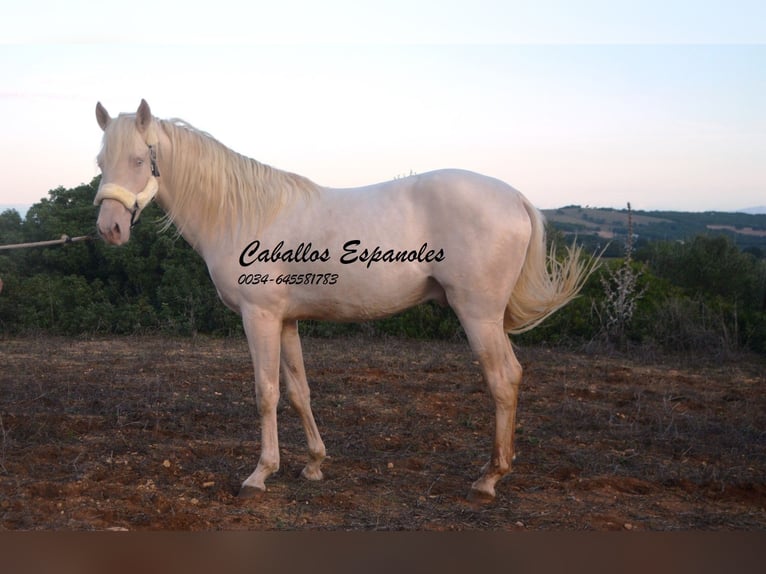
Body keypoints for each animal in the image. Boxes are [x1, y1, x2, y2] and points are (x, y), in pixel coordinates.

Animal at [93, 100, 596, 504]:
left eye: (138, 159)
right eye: (100, 160)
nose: (109, 229)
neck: (245, 212)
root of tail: (515, 198)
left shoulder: (259, 317)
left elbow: (265, 392)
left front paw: (259, 475)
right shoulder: (286, 320)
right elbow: (298, 391)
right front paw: (314, 463)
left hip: (479, 315)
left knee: (504, 379)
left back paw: (489, 479)